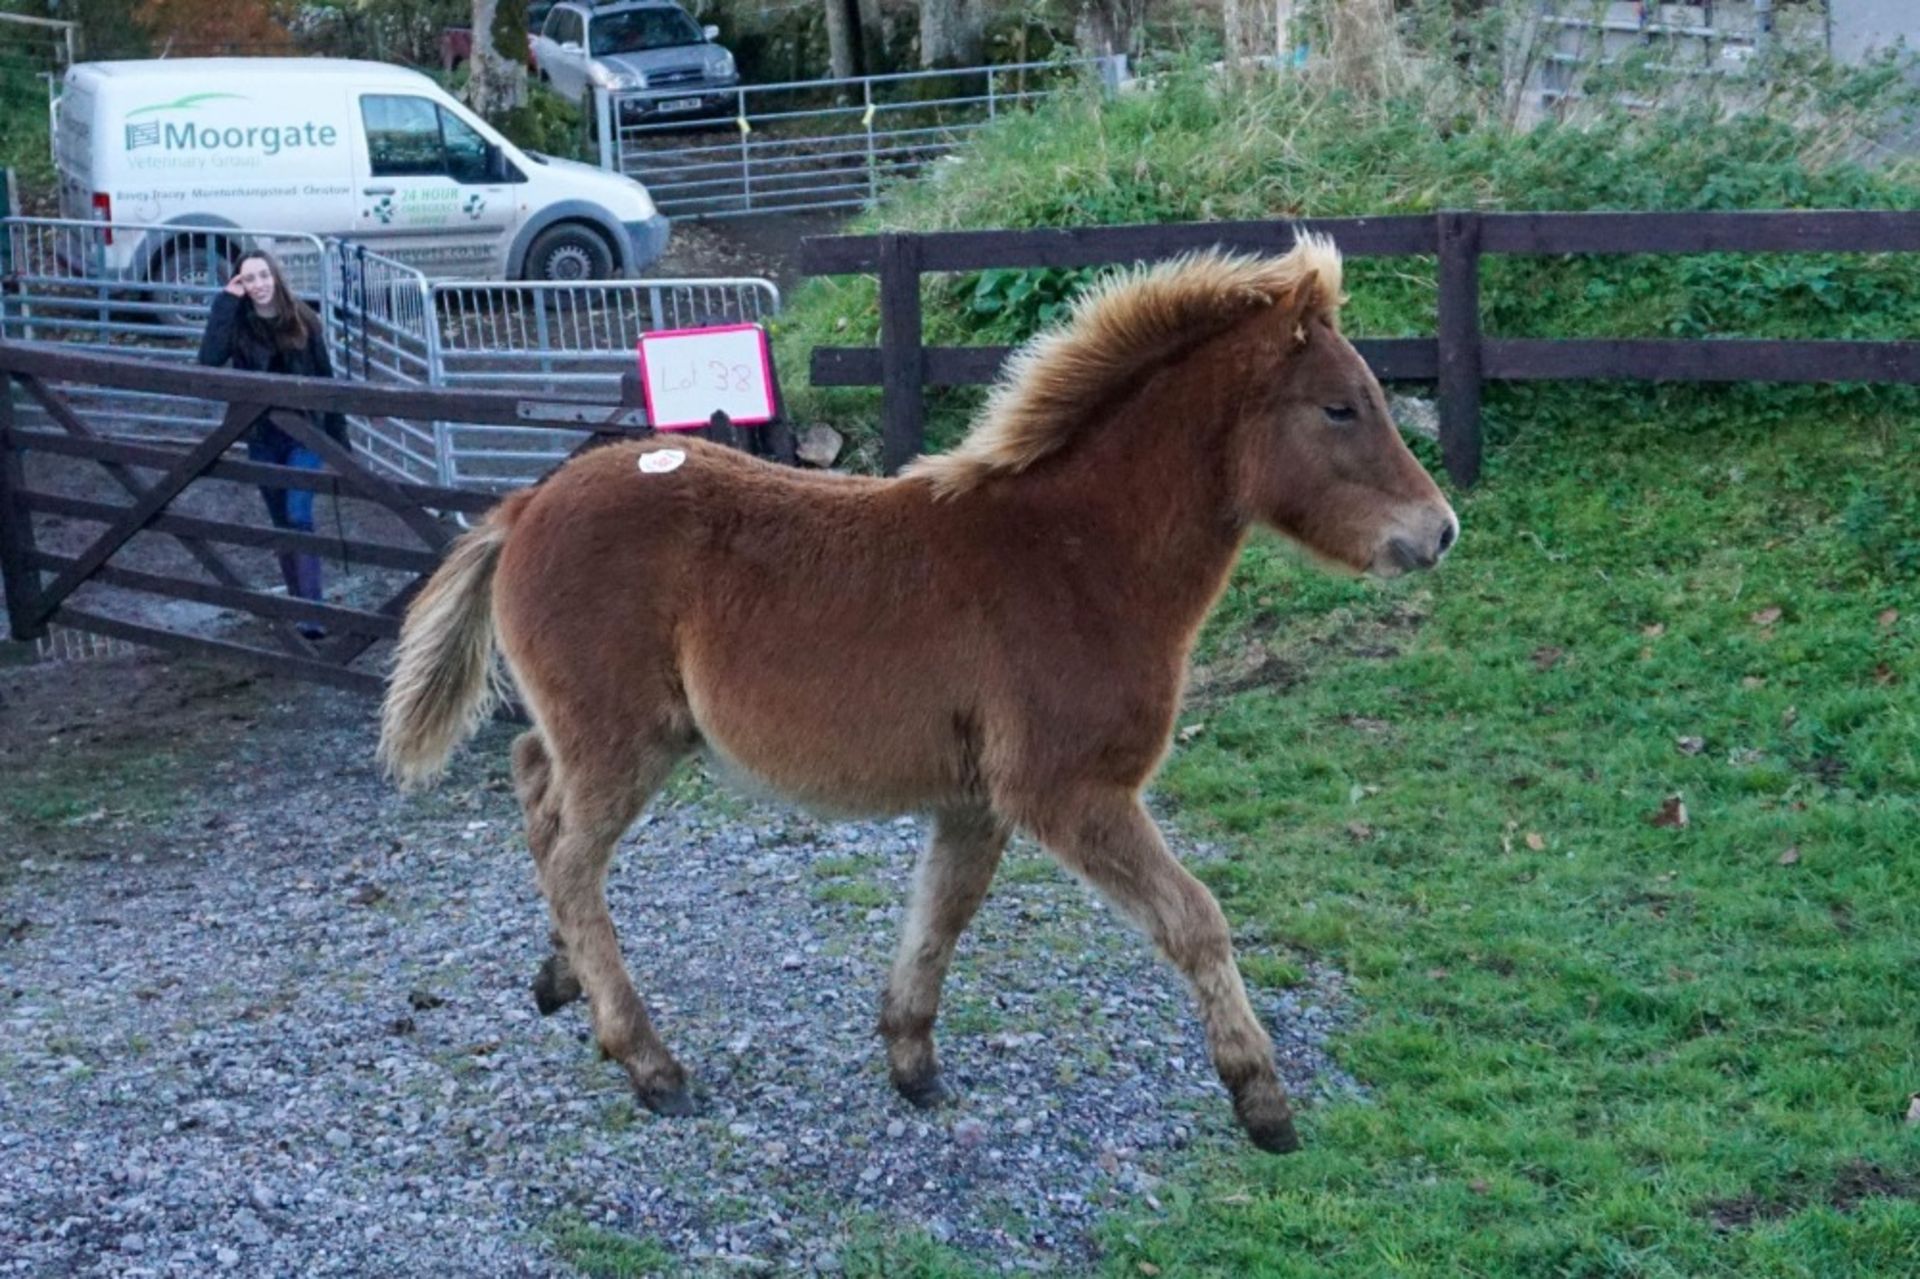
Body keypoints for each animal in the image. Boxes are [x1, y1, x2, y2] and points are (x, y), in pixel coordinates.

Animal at [378, 234, 1451, 1152]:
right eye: (1341, 408)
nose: (1438, 531)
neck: (1074, 555)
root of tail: (523, 504)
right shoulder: (1070, 790)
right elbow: (1194, 919)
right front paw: (1262, 1099)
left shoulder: (976, 799)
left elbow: (942, 913)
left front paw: (911, 1058)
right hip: (621, 742)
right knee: (570, 859)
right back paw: (650, 1063)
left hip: (610, 736)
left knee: (536, 787)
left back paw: (560, 977)